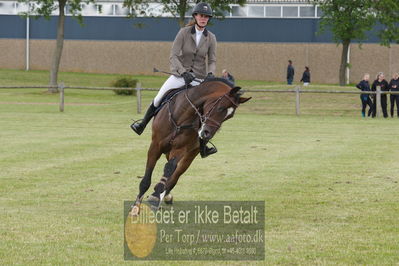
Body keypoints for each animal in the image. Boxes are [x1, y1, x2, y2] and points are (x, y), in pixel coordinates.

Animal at [131, 78, 250, 215]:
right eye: (220, 108)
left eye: (230, 116)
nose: (207, 135)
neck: (183, 114)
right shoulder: (155, 145)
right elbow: (146, 178)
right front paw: (136, 207)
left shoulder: (181, 149)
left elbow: (170, 168)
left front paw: (156, 196)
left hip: (190, 154)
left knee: (175, 174)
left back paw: (164, 195)